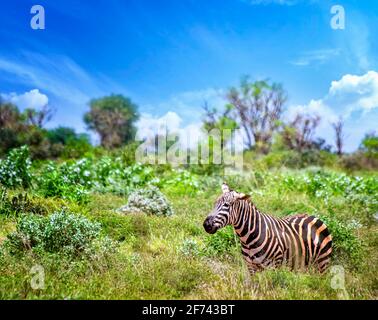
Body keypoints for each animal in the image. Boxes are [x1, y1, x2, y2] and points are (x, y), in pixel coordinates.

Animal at [202, 184, 332, 274]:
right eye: (214, 203)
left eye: (226, 205)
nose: (206, 225)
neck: (247, 238)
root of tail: (313, 216)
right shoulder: (251, 267)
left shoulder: (272, 266)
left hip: (322, 263)